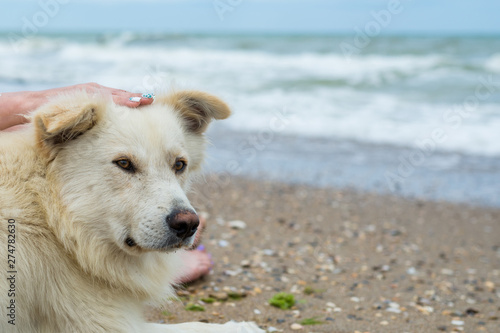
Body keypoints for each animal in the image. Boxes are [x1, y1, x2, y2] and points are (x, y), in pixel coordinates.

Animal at [0, 91, 266, 332]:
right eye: (124, 163)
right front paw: (244, 326)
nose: (189, 225)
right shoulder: (102, 323)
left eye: (179, 165)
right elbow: (197, 327)